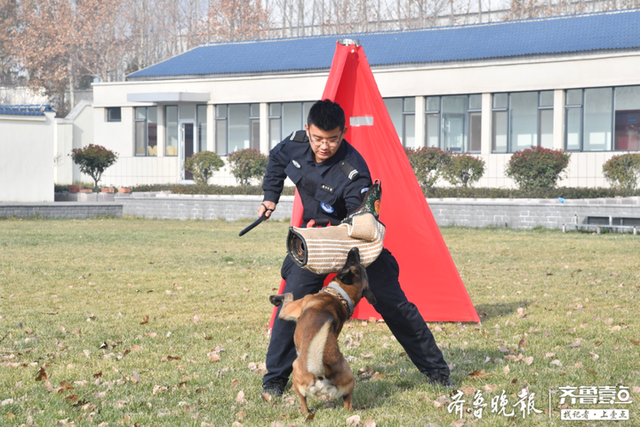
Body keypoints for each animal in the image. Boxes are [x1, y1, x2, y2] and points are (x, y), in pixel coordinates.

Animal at [268, 247, 378, 414]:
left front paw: (275, 298)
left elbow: (288, 295)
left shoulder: (289, 309)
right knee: (348, 405)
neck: (339, 296)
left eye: (351, 261)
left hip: (296, 372)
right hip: (349, 382)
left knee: (304, 404)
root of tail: (321, 371)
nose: (354, 248)